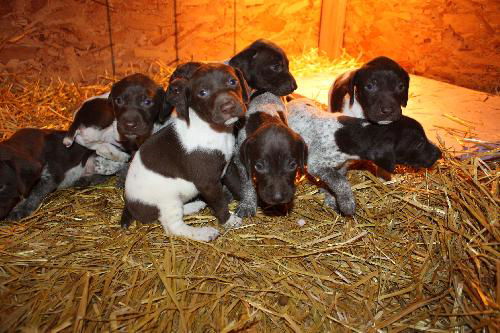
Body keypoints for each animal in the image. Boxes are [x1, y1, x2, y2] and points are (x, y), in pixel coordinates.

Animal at [121, 62, 250, 240]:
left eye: (232, 81)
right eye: (202, 93)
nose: (228, 106)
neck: (214, 130)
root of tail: (131, 205)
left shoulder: (228, 167)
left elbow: (237, 185)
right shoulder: (208, 183)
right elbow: (220, 203)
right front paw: (229, 220)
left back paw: (194, 206)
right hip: (169, 200)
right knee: (174, 227)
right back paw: (204, 233)